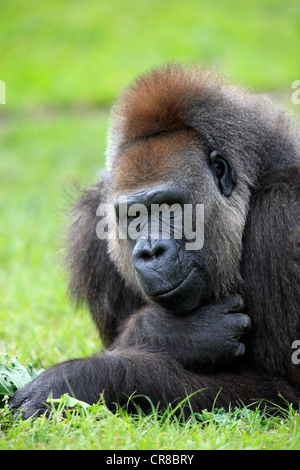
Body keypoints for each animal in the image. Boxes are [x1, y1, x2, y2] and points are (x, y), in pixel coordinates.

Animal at [9, 63, 300, 418]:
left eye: (170, 207)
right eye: (134, 216)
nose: (150, 251)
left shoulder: (283, 217)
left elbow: (281, 388)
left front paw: (77, 379)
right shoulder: (91, 228)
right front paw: (170, 335)